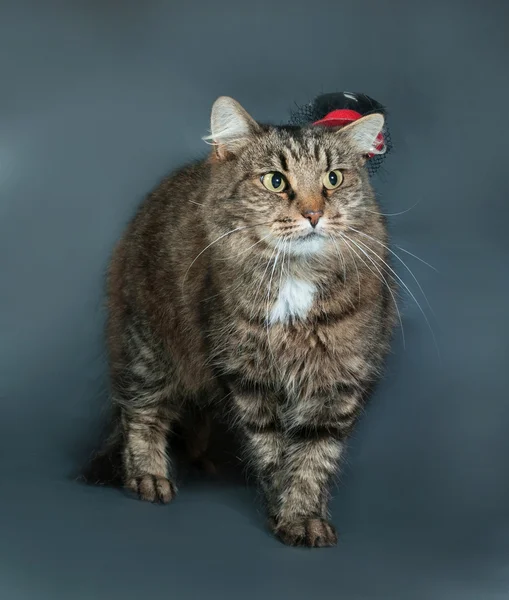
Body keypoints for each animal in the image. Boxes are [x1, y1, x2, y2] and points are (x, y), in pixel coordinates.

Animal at [85, 95, 396, 548]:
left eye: (334, 179)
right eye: (276, 182)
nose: (314, 213)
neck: (295, 279)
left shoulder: (336, 381)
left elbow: (312, 458)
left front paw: (305, 516)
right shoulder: (248, 377)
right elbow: (273, 453)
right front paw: (287, 515)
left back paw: (200, 460)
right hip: (150, 348)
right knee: (140, 414)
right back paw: (148, 476)